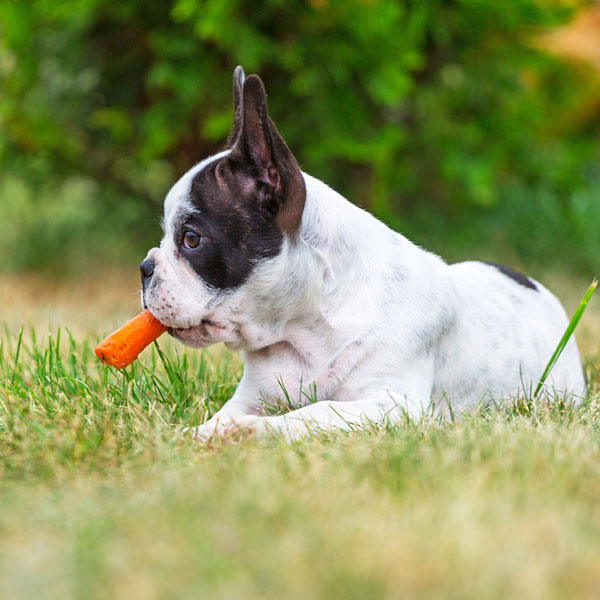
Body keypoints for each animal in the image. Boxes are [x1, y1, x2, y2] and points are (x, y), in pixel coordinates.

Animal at [141, 67, 584, 440]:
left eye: (192, 239)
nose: (144, 268)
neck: (303, 330)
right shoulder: (250, 397)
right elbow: (221, 417)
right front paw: (197, 435)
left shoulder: (393, 405)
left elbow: (314, 412)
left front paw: (254, 431)